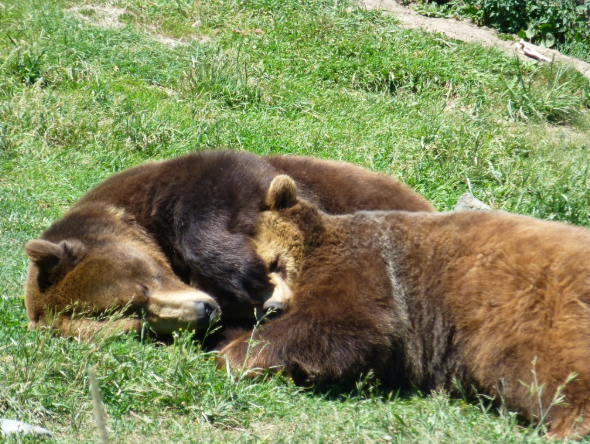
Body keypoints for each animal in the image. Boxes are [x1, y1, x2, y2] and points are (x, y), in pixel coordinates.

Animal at [220, 176, 590, 440]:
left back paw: (568, 425)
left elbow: (345, 323)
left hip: (531, 311)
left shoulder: (369, 268)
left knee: (549, 368)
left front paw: (232, 352)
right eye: (246, 291)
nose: (272, 307)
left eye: (272, 263)